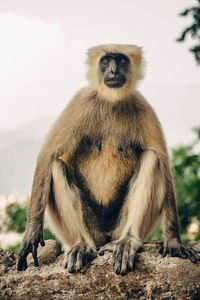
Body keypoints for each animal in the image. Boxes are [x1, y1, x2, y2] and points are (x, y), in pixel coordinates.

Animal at [18, 43, 199, 276]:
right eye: (105, 61)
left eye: (121, 60)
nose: (113, 71)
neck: (111, 102)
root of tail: (104, 238)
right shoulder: (81, 102)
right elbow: (46, 156)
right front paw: (32, 234)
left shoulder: (142, 106)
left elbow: (164, 167)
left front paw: (174, 243)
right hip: (93, 232)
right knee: (55, 165)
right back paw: (81, 245)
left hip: (117, 228)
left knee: (152, 159)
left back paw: (127, 241)